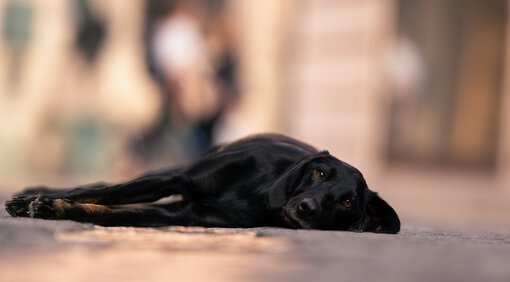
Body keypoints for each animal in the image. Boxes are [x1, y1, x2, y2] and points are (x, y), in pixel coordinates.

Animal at [5, 134, 400, 234]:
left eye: (348, 202)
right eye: (320, 174)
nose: (307, 208)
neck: (259, 193)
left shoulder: (181, 214)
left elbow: (104, 213)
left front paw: (55, 209)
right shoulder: (175, 178)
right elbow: (100, 193)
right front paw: (40, 201)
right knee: (103, 182)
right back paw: (30, 191)